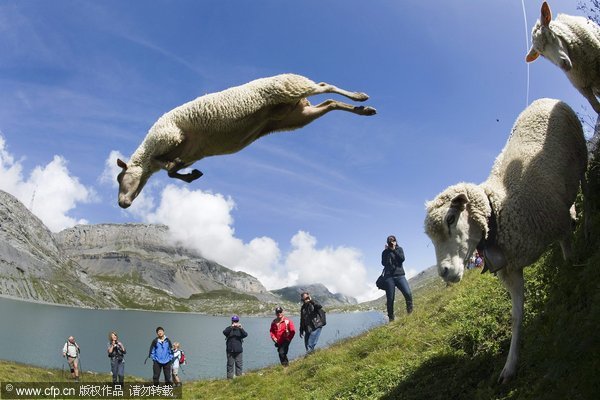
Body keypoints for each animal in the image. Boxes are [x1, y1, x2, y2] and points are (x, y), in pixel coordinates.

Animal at [115, 73, 376, 208]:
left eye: (119, 178)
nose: (121, 204)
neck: (148, 153)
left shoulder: (172, 136)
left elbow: (166, 166)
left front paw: (179, 168)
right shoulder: (190, 153)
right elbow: (171, 172)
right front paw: (191, 175)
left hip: (291, 87)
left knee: (324, 86)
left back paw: (360, 96)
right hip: (297, 115)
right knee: (330, 104)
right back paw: (364, 110)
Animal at [424, 98, 588, 382]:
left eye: (451, 218)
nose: (444, 272)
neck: (499, 210)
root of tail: (542, 100)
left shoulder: (558, 227)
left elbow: (568, 257)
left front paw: (570, 279)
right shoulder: (511, 270)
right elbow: (516, 316)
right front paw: (510, 365)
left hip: (581, 154)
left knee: (585, 181)